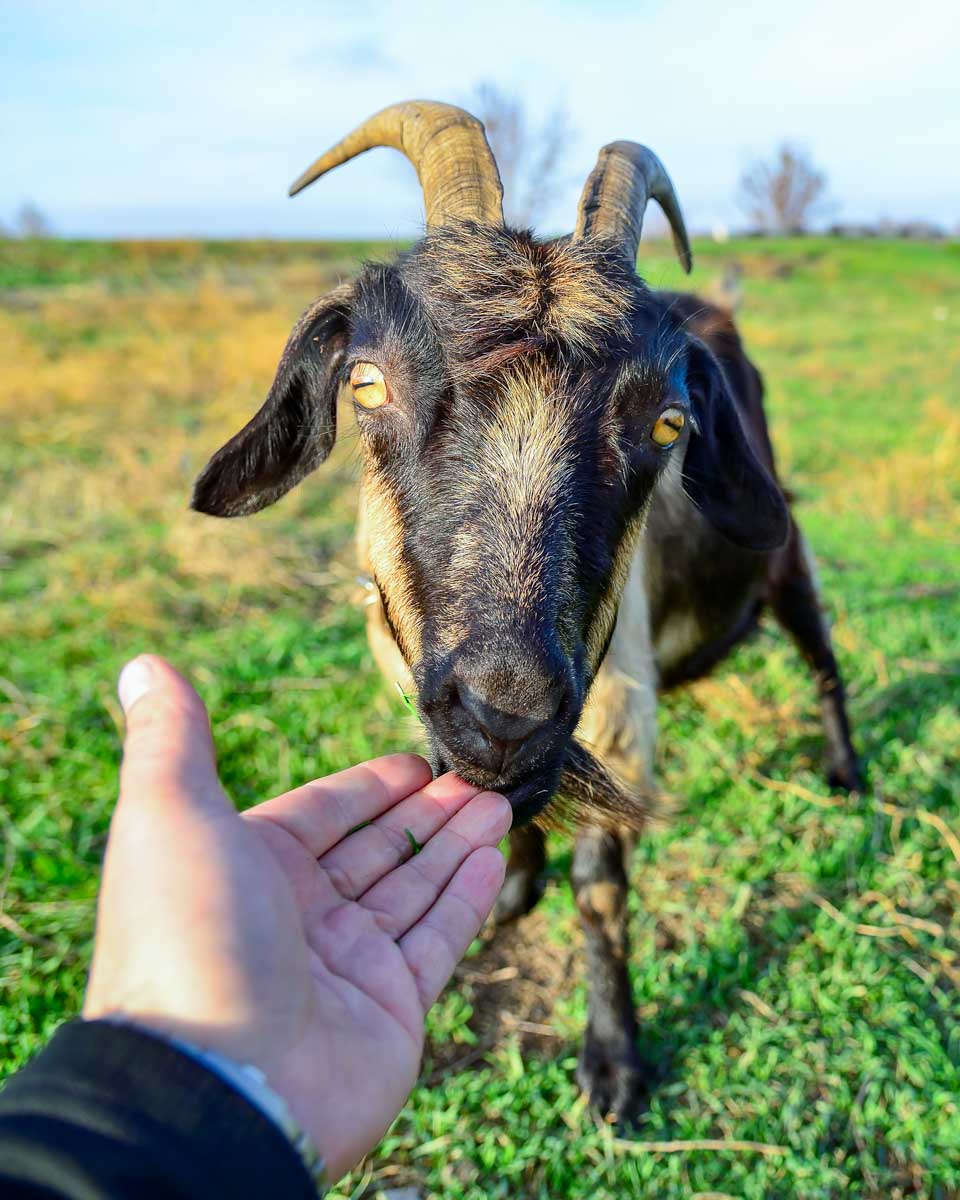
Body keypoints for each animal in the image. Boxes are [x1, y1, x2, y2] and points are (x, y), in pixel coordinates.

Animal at [192, 101, 861, 1119]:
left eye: (668, 421)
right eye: (367, 383)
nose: (505, 709)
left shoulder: (617, 710)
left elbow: (600, 887)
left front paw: (615, 1062)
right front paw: (511, 894)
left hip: (788, 563)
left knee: (823, 662)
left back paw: (848, 773)